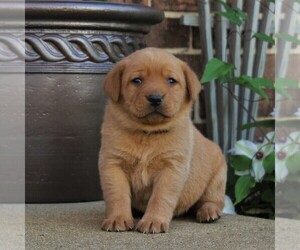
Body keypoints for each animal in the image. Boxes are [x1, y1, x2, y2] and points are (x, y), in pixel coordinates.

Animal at [99, 47, 226, 233]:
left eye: (171, 80)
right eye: (137, 80)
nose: (155, 98)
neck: (147, 133)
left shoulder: (172, 168)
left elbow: (160, 197)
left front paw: (153, 220)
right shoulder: (112, 164)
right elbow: (117, 195)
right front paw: (118, 218)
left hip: (218, 176)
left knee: (212, 199)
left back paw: (209, 211)